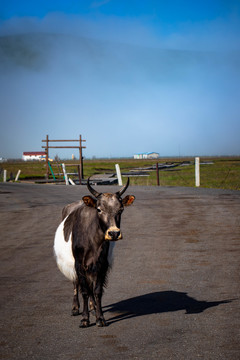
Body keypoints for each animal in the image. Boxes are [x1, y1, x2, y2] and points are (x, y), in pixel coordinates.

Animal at [53, 179, 135, 328]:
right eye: (99, 209)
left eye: (121, 209)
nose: (114, 233)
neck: (93, 242)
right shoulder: (79, 264)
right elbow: (85, 291)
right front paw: (85, 319)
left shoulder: (101, 265)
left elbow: (97, 291)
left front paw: (100, 317)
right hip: (73, 265)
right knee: (76, 283)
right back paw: (75, 308)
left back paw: (92, 307)